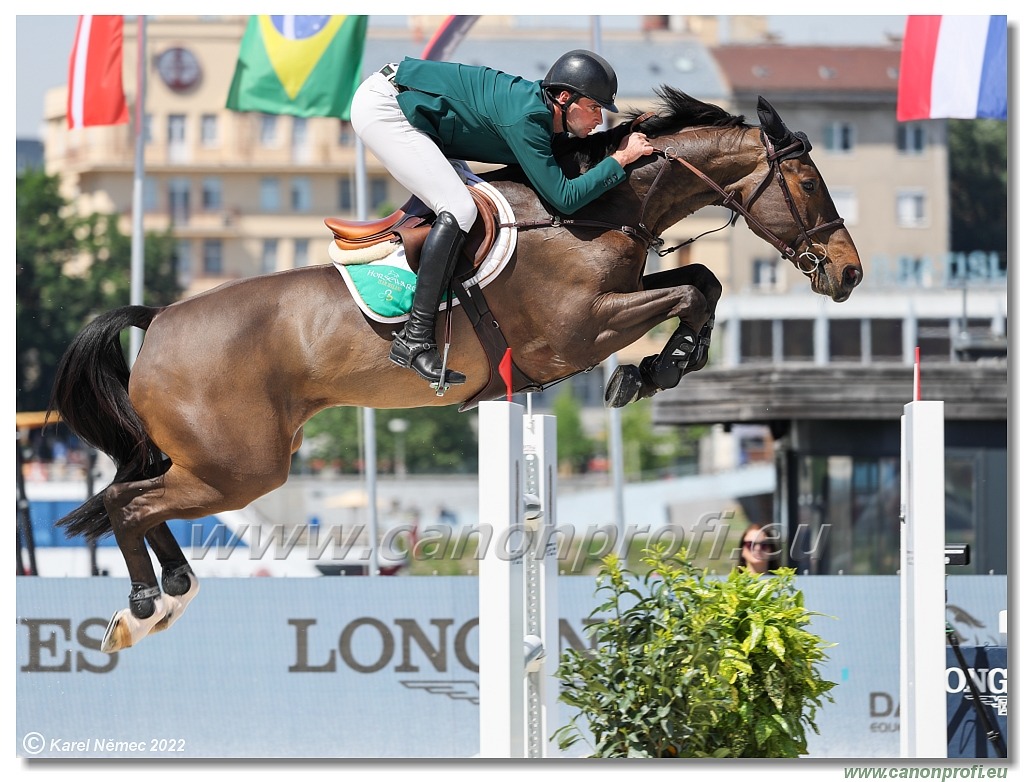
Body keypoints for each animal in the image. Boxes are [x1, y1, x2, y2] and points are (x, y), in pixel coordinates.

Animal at [49, 90, 864, 655]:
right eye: (811, 186)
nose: (850, 274)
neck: (591, 210)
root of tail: (161, 321)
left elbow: (703, 281)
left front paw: (667, 364)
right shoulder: (580, 329)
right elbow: (692, 290)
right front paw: (652, 370)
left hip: (221, 461)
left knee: (132, 498)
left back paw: (168, 595)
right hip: (240, 466)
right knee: (129, 502)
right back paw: (144, 606)